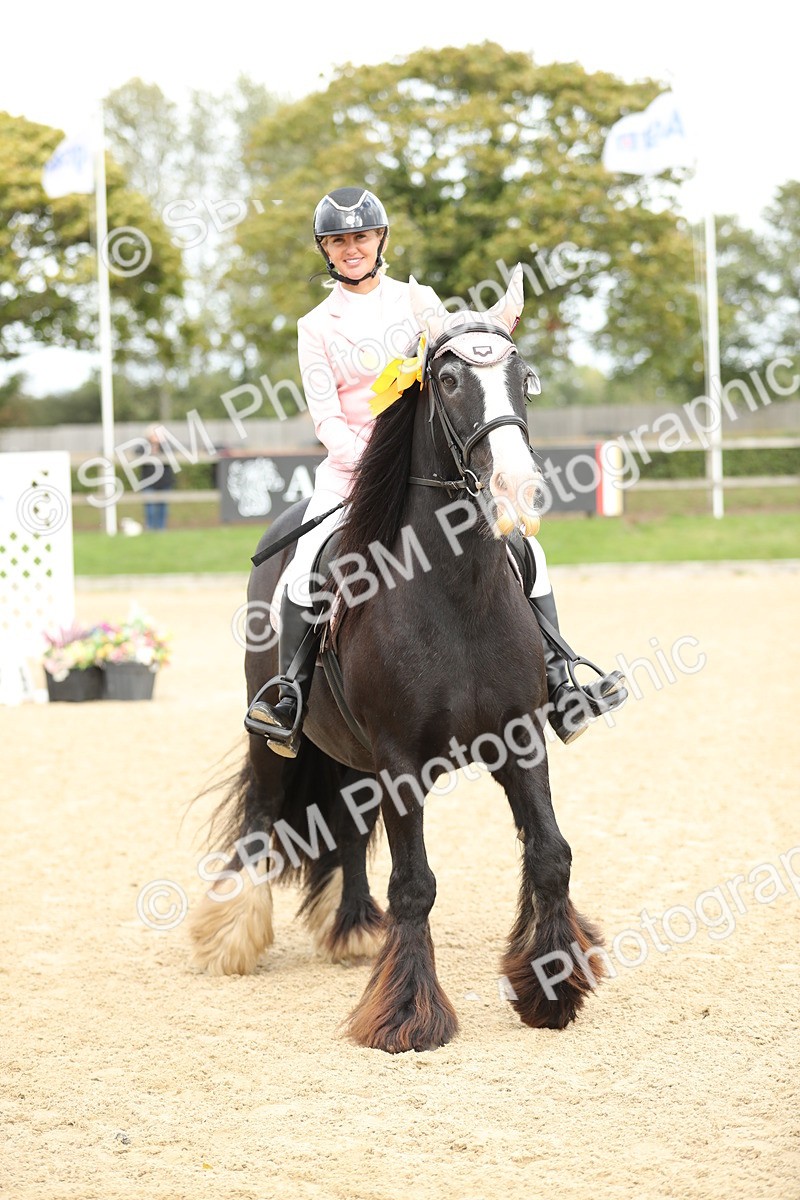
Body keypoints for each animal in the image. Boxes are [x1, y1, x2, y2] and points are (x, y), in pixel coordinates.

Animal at [189, 267, 605, 1053]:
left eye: (523, 377)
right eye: (446, 378)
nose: (516, 491)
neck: (455, 592)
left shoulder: (520, 741)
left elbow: (550, 854)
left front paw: (551, 987)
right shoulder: (402, 761)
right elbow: (415, 883)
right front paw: (408, 1015)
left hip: (354, 756)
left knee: (349, 828)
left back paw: (354, 930)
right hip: (278, 737)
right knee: (262, 814)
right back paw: (231, 936)